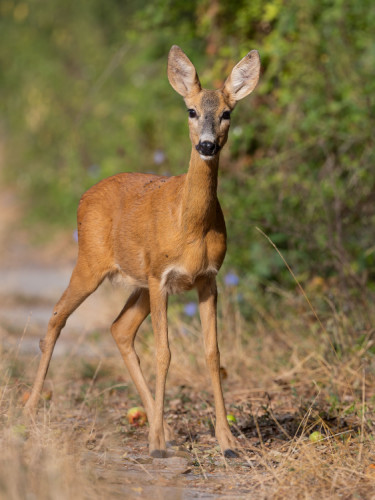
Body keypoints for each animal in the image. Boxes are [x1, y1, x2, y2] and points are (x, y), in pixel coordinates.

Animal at [25, 45, 262, 458]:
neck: (190, 225)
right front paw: (155, 445)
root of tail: (85, 195)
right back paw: (27, 414)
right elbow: (164, 352)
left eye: (227, 113)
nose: (206, 145)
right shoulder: (160, 275)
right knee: (55, 319)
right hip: (91, 262)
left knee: (119, 329)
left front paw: (227, 442)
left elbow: (213, 353)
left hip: (135, 281)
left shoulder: (208, 278)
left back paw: (161, 426)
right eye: (191, 110)